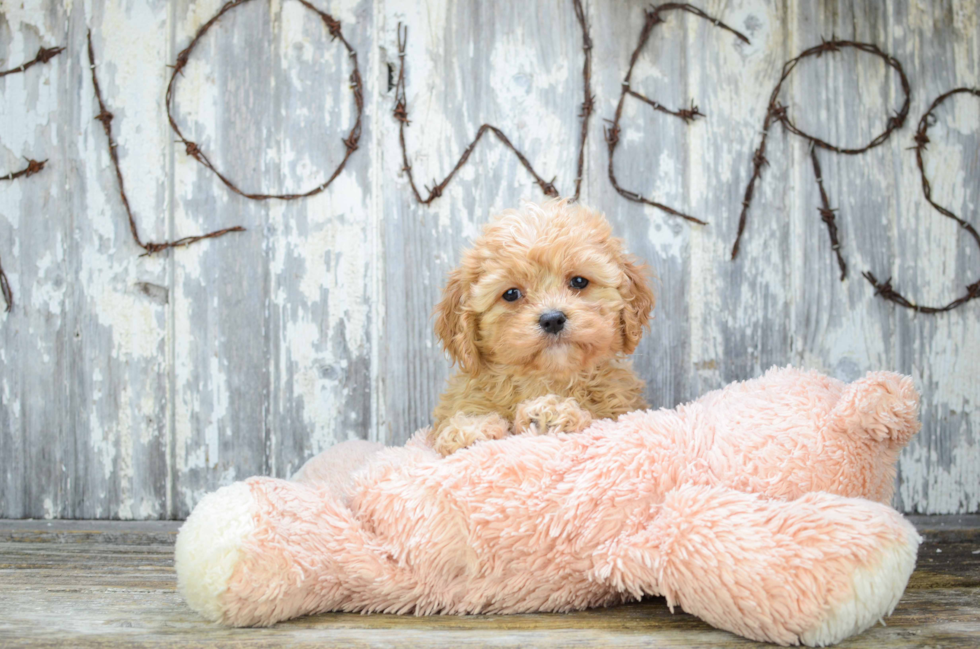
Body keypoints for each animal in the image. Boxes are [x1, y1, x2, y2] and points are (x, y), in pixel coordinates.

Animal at [426, 199, 652, 456]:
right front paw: (470, 430)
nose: (552, 319)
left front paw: (553, 412)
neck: (545, 380)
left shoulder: (622, 409)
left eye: (579, 281)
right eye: (511, 294)